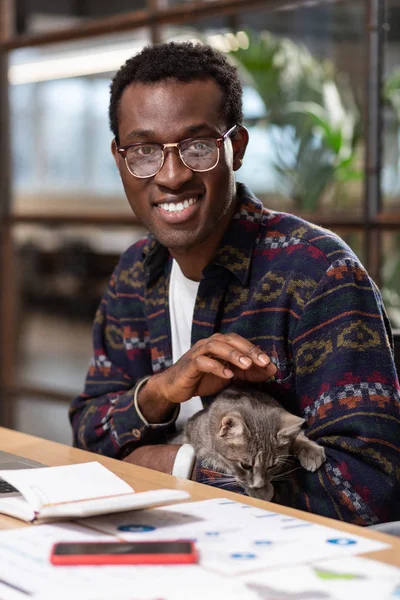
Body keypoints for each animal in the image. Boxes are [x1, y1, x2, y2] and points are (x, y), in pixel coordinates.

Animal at [181, 384, 324, 502]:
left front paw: (311, 450)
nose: (259, 485)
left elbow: (297, 435)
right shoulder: (202, 448)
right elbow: (231, 470)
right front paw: (262, 491)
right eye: (245, 466)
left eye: (273, 466)